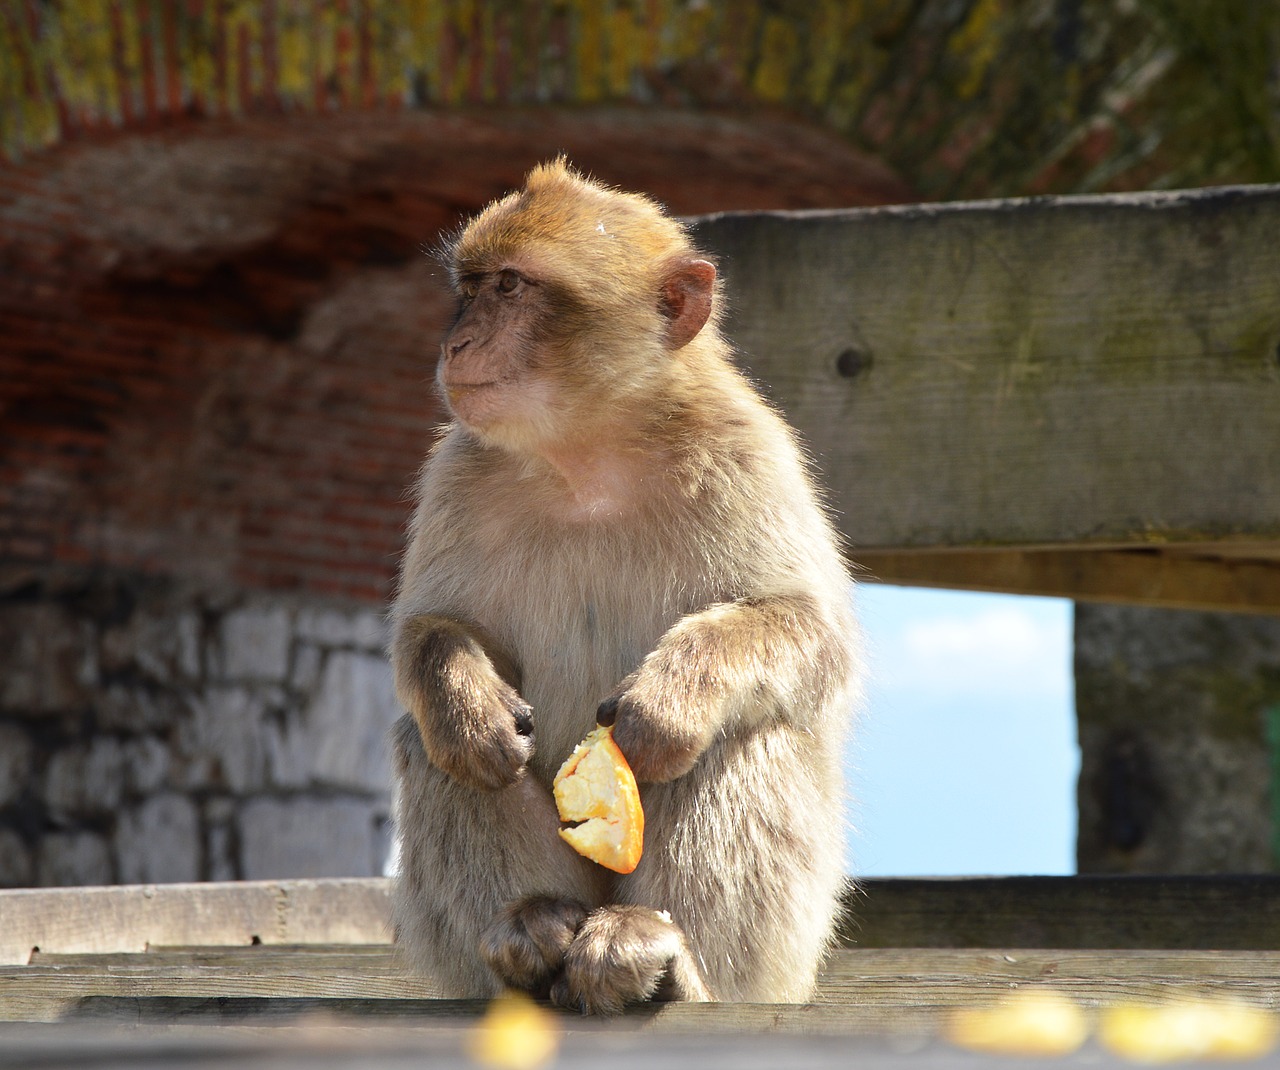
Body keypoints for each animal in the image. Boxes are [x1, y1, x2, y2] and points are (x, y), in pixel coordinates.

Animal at [389, 156, 860, 1013]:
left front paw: (671, 702)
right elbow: (431, 631)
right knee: (432, 745)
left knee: (746, 734)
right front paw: (465, 703)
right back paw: (531, 936)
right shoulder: (457, 471)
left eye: (511, 286)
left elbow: (811, 633)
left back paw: (667, 962)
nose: (456, 342)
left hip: (779, 962)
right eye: (470, 287)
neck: (590, 454)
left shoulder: (749, 452)